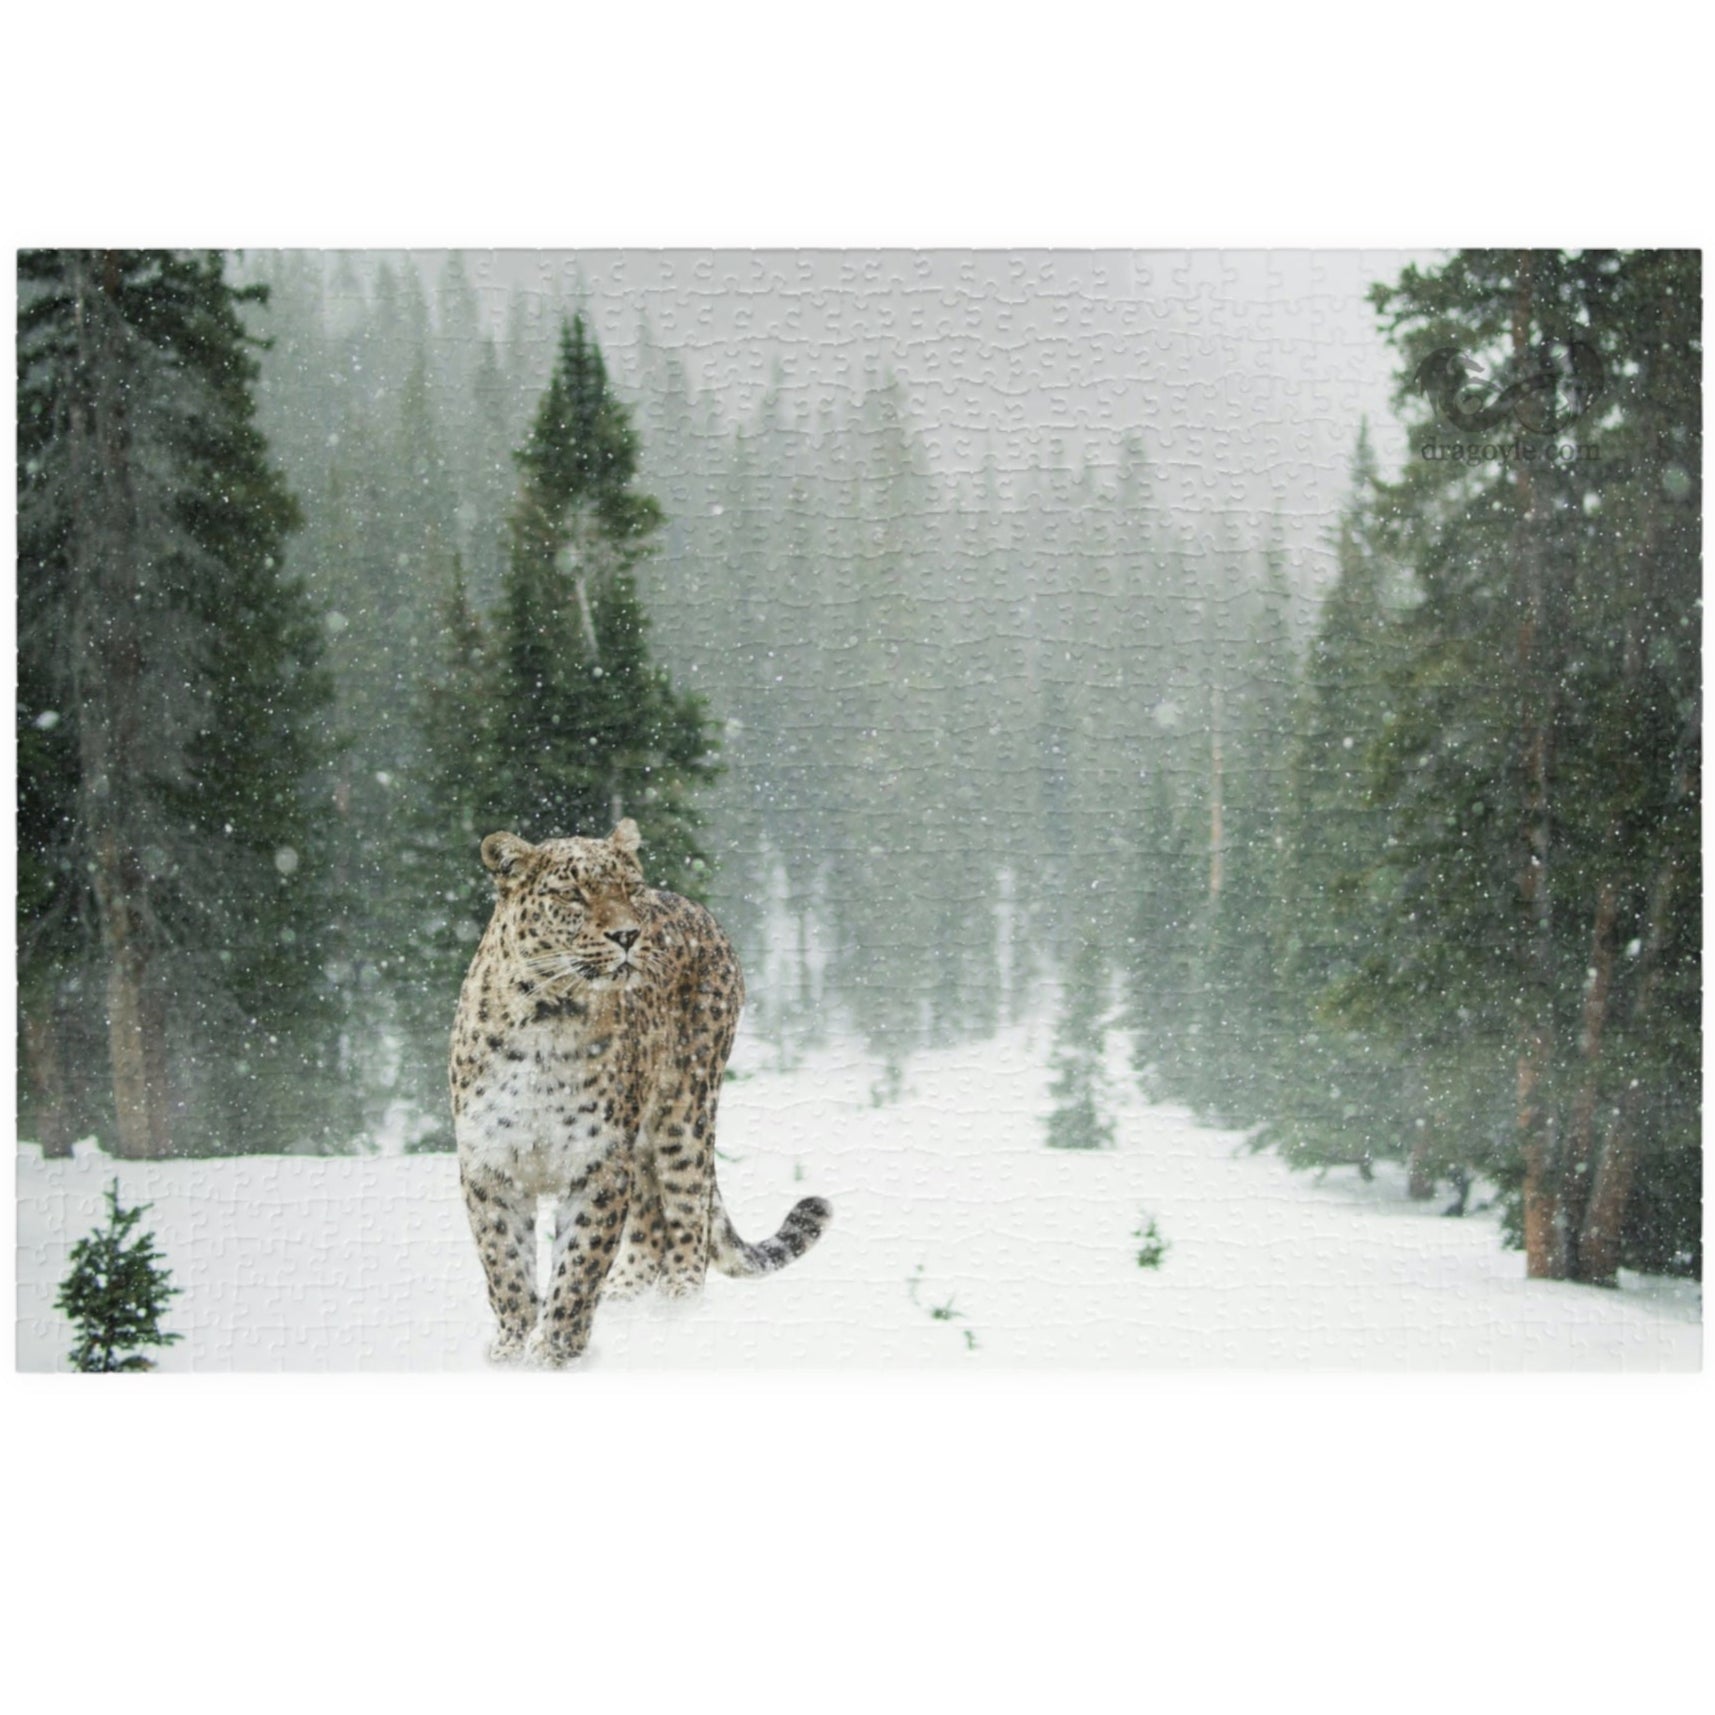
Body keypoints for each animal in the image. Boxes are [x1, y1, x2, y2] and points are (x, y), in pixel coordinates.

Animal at [450, 818, 832, 1366]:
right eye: (573, 894)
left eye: (629, 889)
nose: (628, 934)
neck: (547, 1018)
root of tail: (697, 908)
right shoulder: (490, 1164)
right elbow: (505, 1264)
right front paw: (511, 1348)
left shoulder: (600, 1163)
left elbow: (579, 1264)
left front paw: (555, 1351)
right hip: (646, 1141)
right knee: (651, 1217)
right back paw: (626, 1296)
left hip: (685, 1111)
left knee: (688, 1210)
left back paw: (676, 1309)